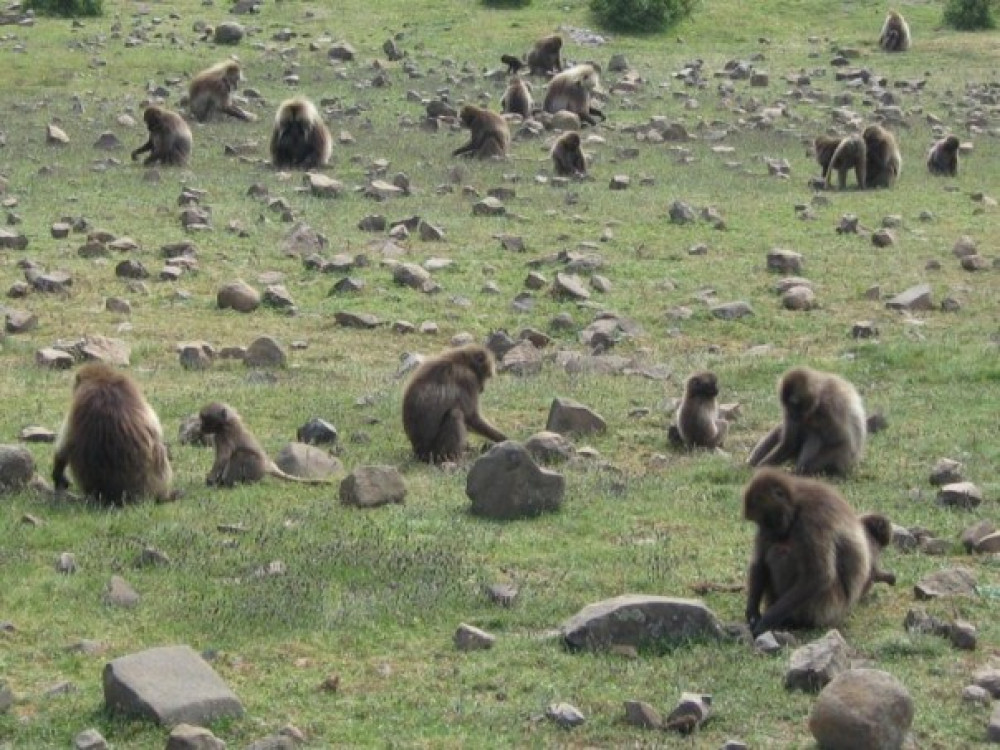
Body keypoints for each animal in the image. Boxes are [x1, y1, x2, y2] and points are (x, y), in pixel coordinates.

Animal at [198, 406, 332, 488]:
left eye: (205, 419)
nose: (201, 428)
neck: (227, 422)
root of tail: (268, 465)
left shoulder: (224, 436)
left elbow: (223, 458)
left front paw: (211, 480)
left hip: (256, 467)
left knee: (241, 454)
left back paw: (232, 483)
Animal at [744, 472, 876, 636]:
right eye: (759, 522)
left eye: (766, 519)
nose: (767, 531)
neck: (797, 505)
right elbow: (759, 562)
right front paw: (752, 613)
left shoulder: (813, 519)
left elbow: (818, 576)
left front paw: (765, 622)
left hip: (826, 605)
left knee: (779, 553)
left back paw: (791, 621)